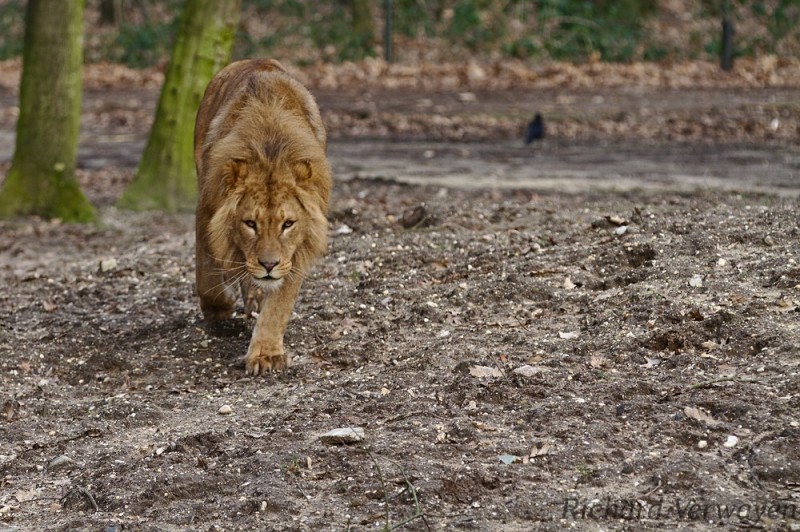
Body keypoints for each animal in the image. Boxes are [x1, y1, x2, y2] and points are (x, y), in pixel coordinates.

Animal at [194, 59, 331, 375]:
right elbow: (207, 276)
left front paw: (266, 354)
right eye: (250, 224)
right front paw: (219, 309)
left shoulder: (295, 250)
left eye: (288, 224)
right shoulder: (206, 211)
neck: (270, 150)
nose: (268, 265)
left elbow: (279, 303)